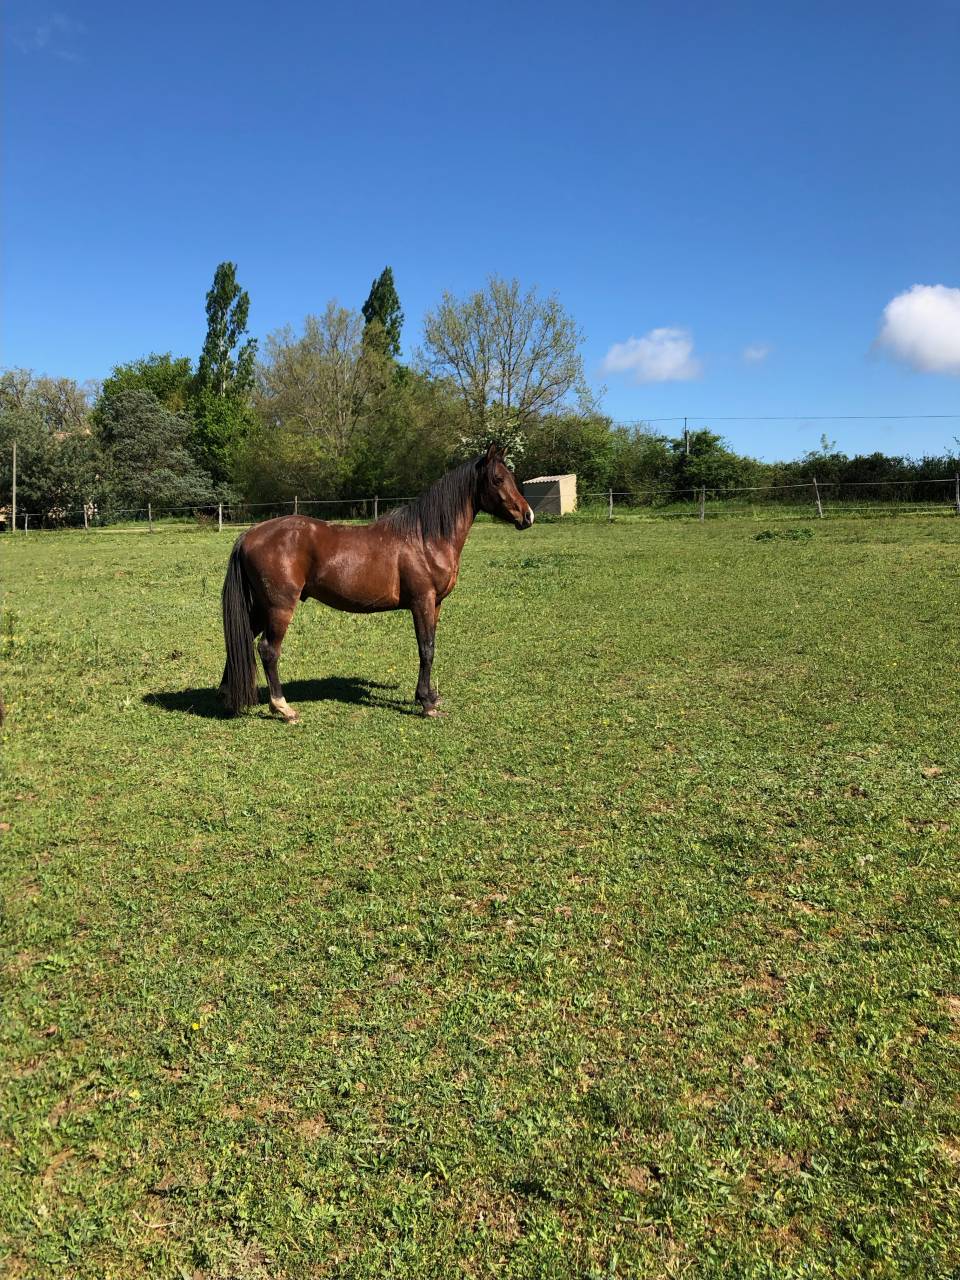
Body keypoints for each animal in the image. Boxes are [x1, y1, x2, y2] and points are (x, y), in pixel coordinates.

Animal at [219, 443, 534, 722]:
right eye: (498, 479)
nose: (528, 515)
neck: (425, 538)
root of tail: (250, 534)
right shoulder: (422, 601)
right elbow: (426, 649)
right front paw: (426, 704)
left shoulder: (436, 604)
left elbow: (431, 646)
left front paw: (430, 696)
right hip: (279, 607)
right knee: (268, 650)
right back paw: (283, 708)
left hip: (261, 607)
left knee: (241, 639)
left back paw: (229, 696)